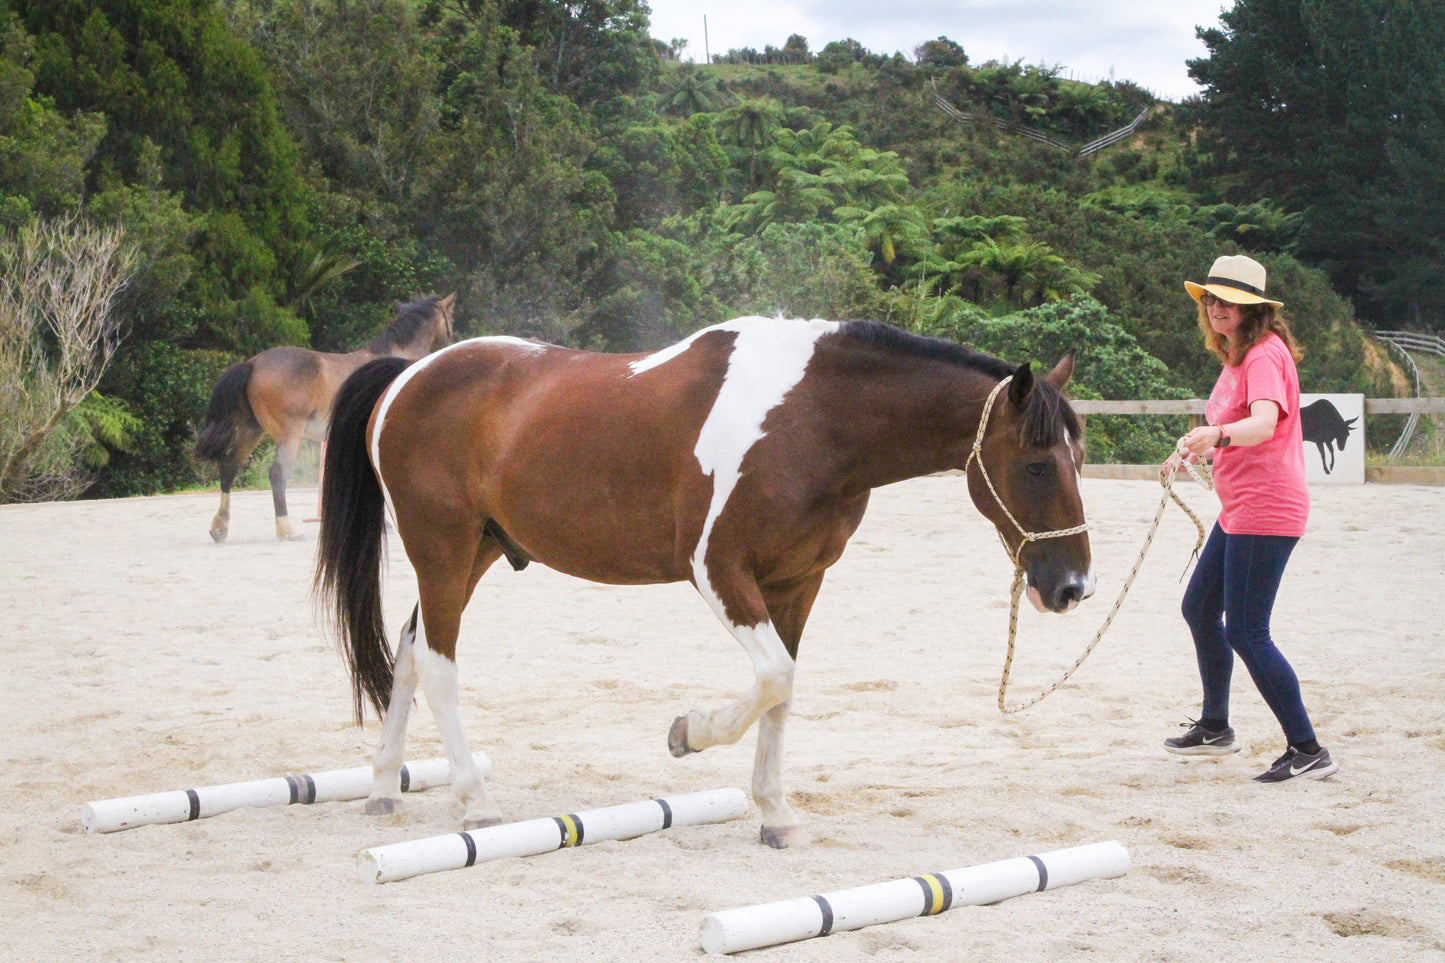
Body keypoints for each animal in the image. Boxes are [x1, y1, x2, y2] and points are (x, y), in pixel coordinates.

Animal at [192, 292, 450, 540]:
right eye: (450, 319)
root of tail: (252, 364)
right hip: (289, 436)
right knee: (277, 474)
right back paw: (286, 529)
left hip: (251, 431)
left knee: (229, 467)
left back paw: (220, 528)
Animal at [310, 316, 1086, 850]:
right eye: (1037, 464)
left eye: (1078, 459)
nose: (1073, 586)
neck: (811, 421)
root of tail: (407, 377)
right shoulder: (719, 572)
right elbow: (771, 676)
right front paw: (688, 734)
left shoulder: (797, 584)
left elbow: (782, 688)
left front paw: (774, 814)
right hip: (440, 548)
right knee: (437, 662)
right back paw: (477, 801)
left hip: (477, 552)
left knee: (408, 650)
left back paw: (383, 788)